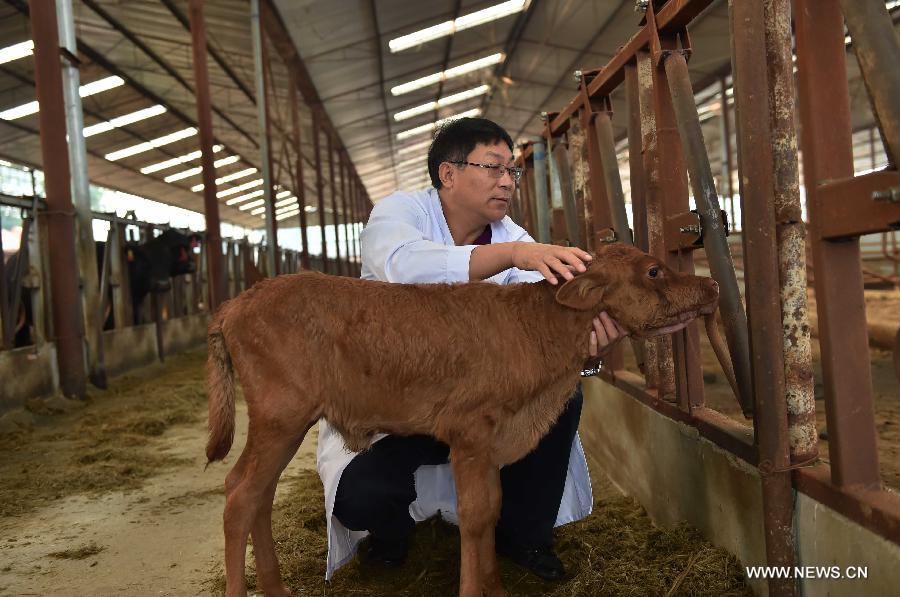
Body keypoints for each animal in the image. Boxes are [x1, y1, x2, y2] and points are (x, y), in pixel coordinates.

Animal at [206, 242, 724, 596]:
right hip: (281, 414)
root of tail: (235, 305)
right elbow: (475, 515)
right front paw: (475, 589)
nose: (712, 285)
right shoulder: (471, 430)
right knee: (239, 492)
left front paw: (495, 585)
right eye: (653, 270)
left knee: (260, 495)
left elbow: (492, 508)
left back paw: (276, 587)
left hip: (282, 423)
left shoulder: (493, 439)